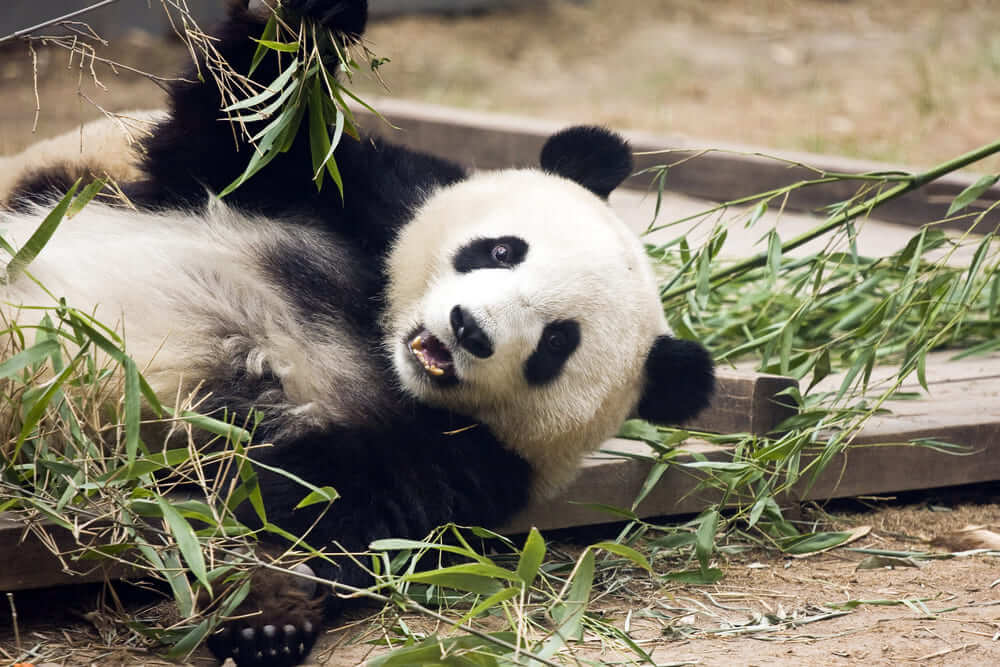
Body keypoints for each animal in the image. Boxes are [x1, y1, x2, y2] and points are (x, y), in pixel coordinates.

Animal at [1, 1, 715, 665]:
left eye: (558, 343)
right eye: (503, 250)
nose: (468, 329)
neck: (375, 342)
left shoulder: (462, 461)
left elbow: (327, 513)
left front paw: (267, 612)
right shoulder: (361, 201)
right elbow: (245, 129)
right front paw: (313, 23)